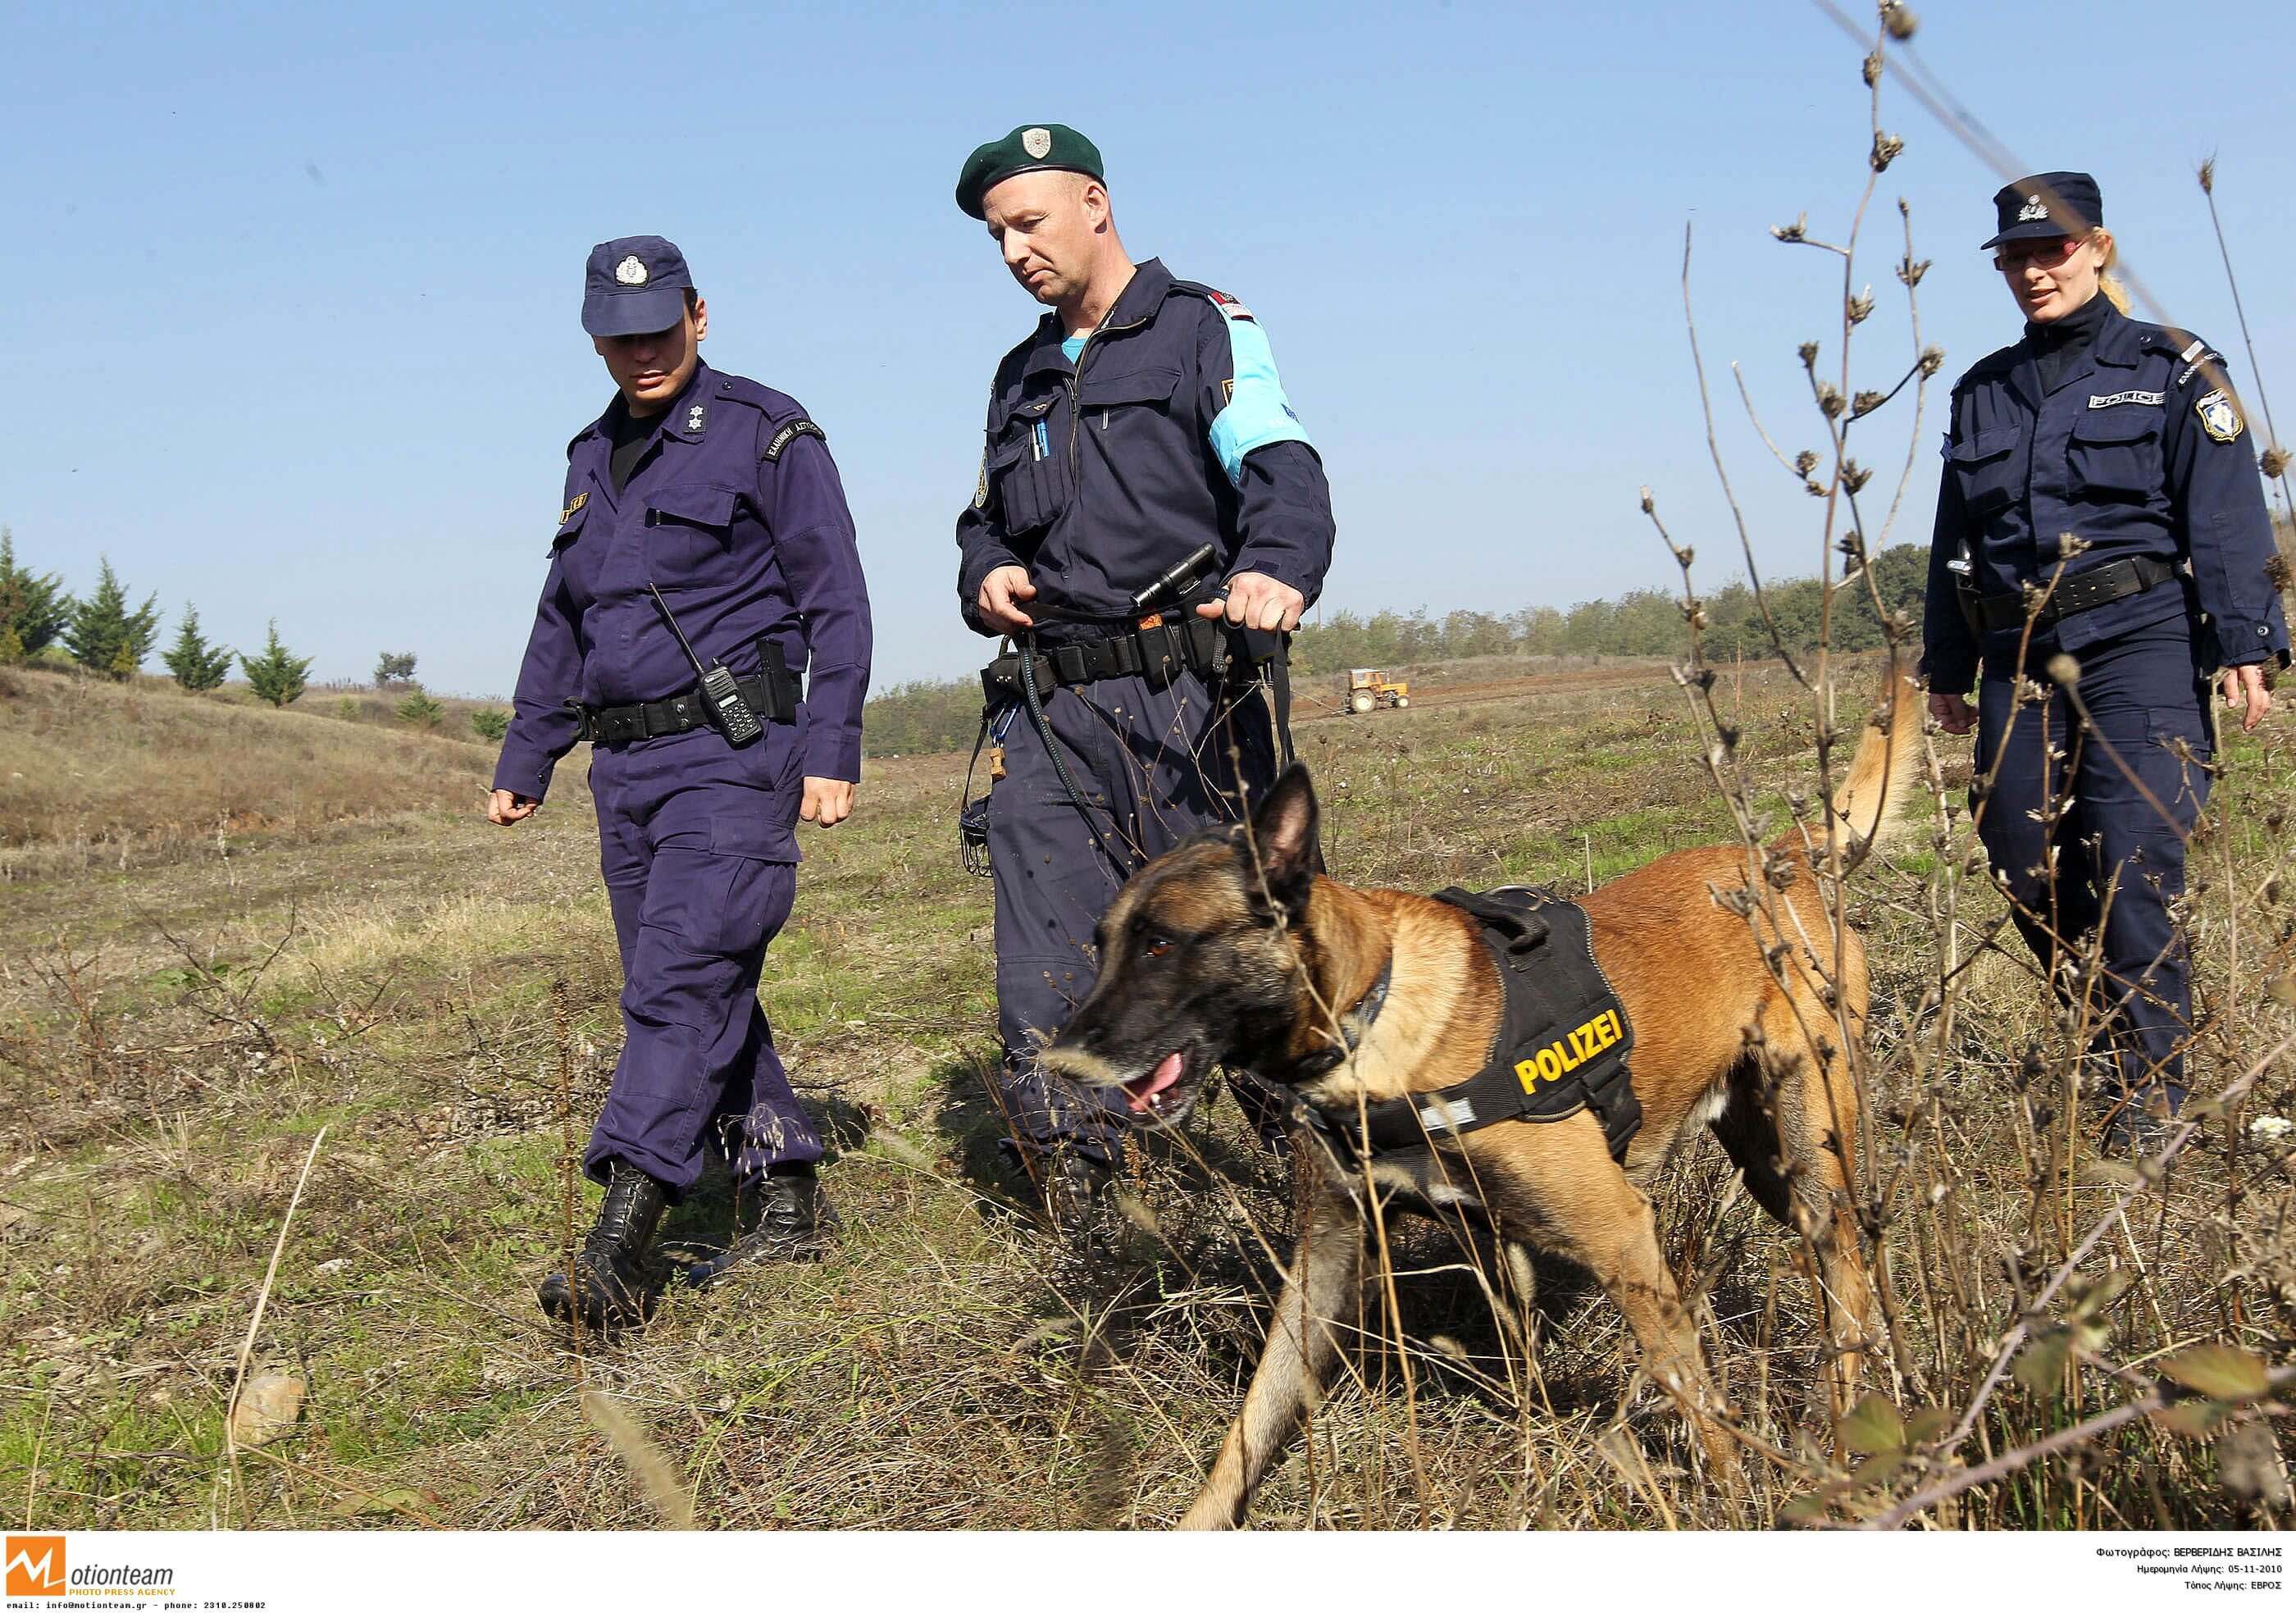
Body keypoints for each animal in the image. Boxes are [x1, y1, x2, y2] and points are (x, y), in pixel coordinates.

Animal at [1042, 675, 1919, 1534]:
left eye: (1162, 943)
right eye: (1103, 944)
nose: (1060, 1059)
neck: (1371, 1015)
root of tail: (1781, 855)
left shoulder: (1620, 1234)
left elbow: (1691, 1392)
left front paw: (1733, 1501)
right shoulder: (1327, 1262)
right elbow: (1250, 1425)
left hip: (1809, 1148)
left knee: (1843, 1271)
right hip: (1771, 1163)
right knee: (1857, 1262)